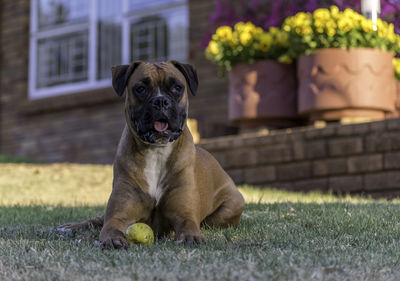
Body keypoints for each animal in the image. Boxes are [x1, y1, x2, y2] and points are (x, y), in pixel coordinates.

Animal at [55, 60, 244, 247]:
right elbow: (110, 226)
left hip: (232, 205)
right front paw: (113, 239)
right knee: (97, 220)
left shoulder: (185, 215)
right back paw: (69, 227)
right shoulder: (118, 215)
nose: (160, 101)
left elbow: (189, 225)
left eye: (177, 87)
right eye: (140, 88)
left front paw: (191, 238)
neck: (157, 152)